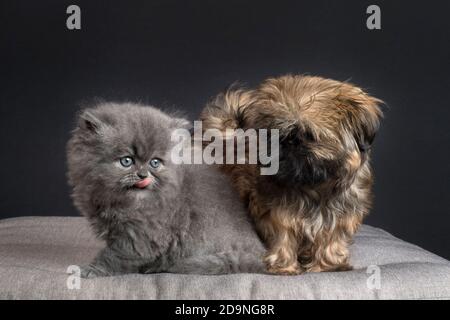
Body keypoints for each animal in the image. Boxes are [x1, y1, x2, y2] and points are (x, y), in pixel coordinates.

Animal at [65, 102, 266, 278]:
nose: (143, 175)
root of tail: (260, 253)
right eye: (127, 161)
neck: (125, 201)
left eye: (155, 162)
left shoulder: (142, 236)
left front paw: (89, 270)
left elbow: (114, 257)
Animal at [200, 75, 384, 276]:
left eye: (309, 135)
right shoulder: (277, 213)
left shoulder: (342, 214)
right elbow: (283, 237)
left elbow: (332, 239)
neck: (313, 187)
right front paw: (283, 266)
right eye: (270, 133)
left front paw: (330, 264)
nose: (286, 141)